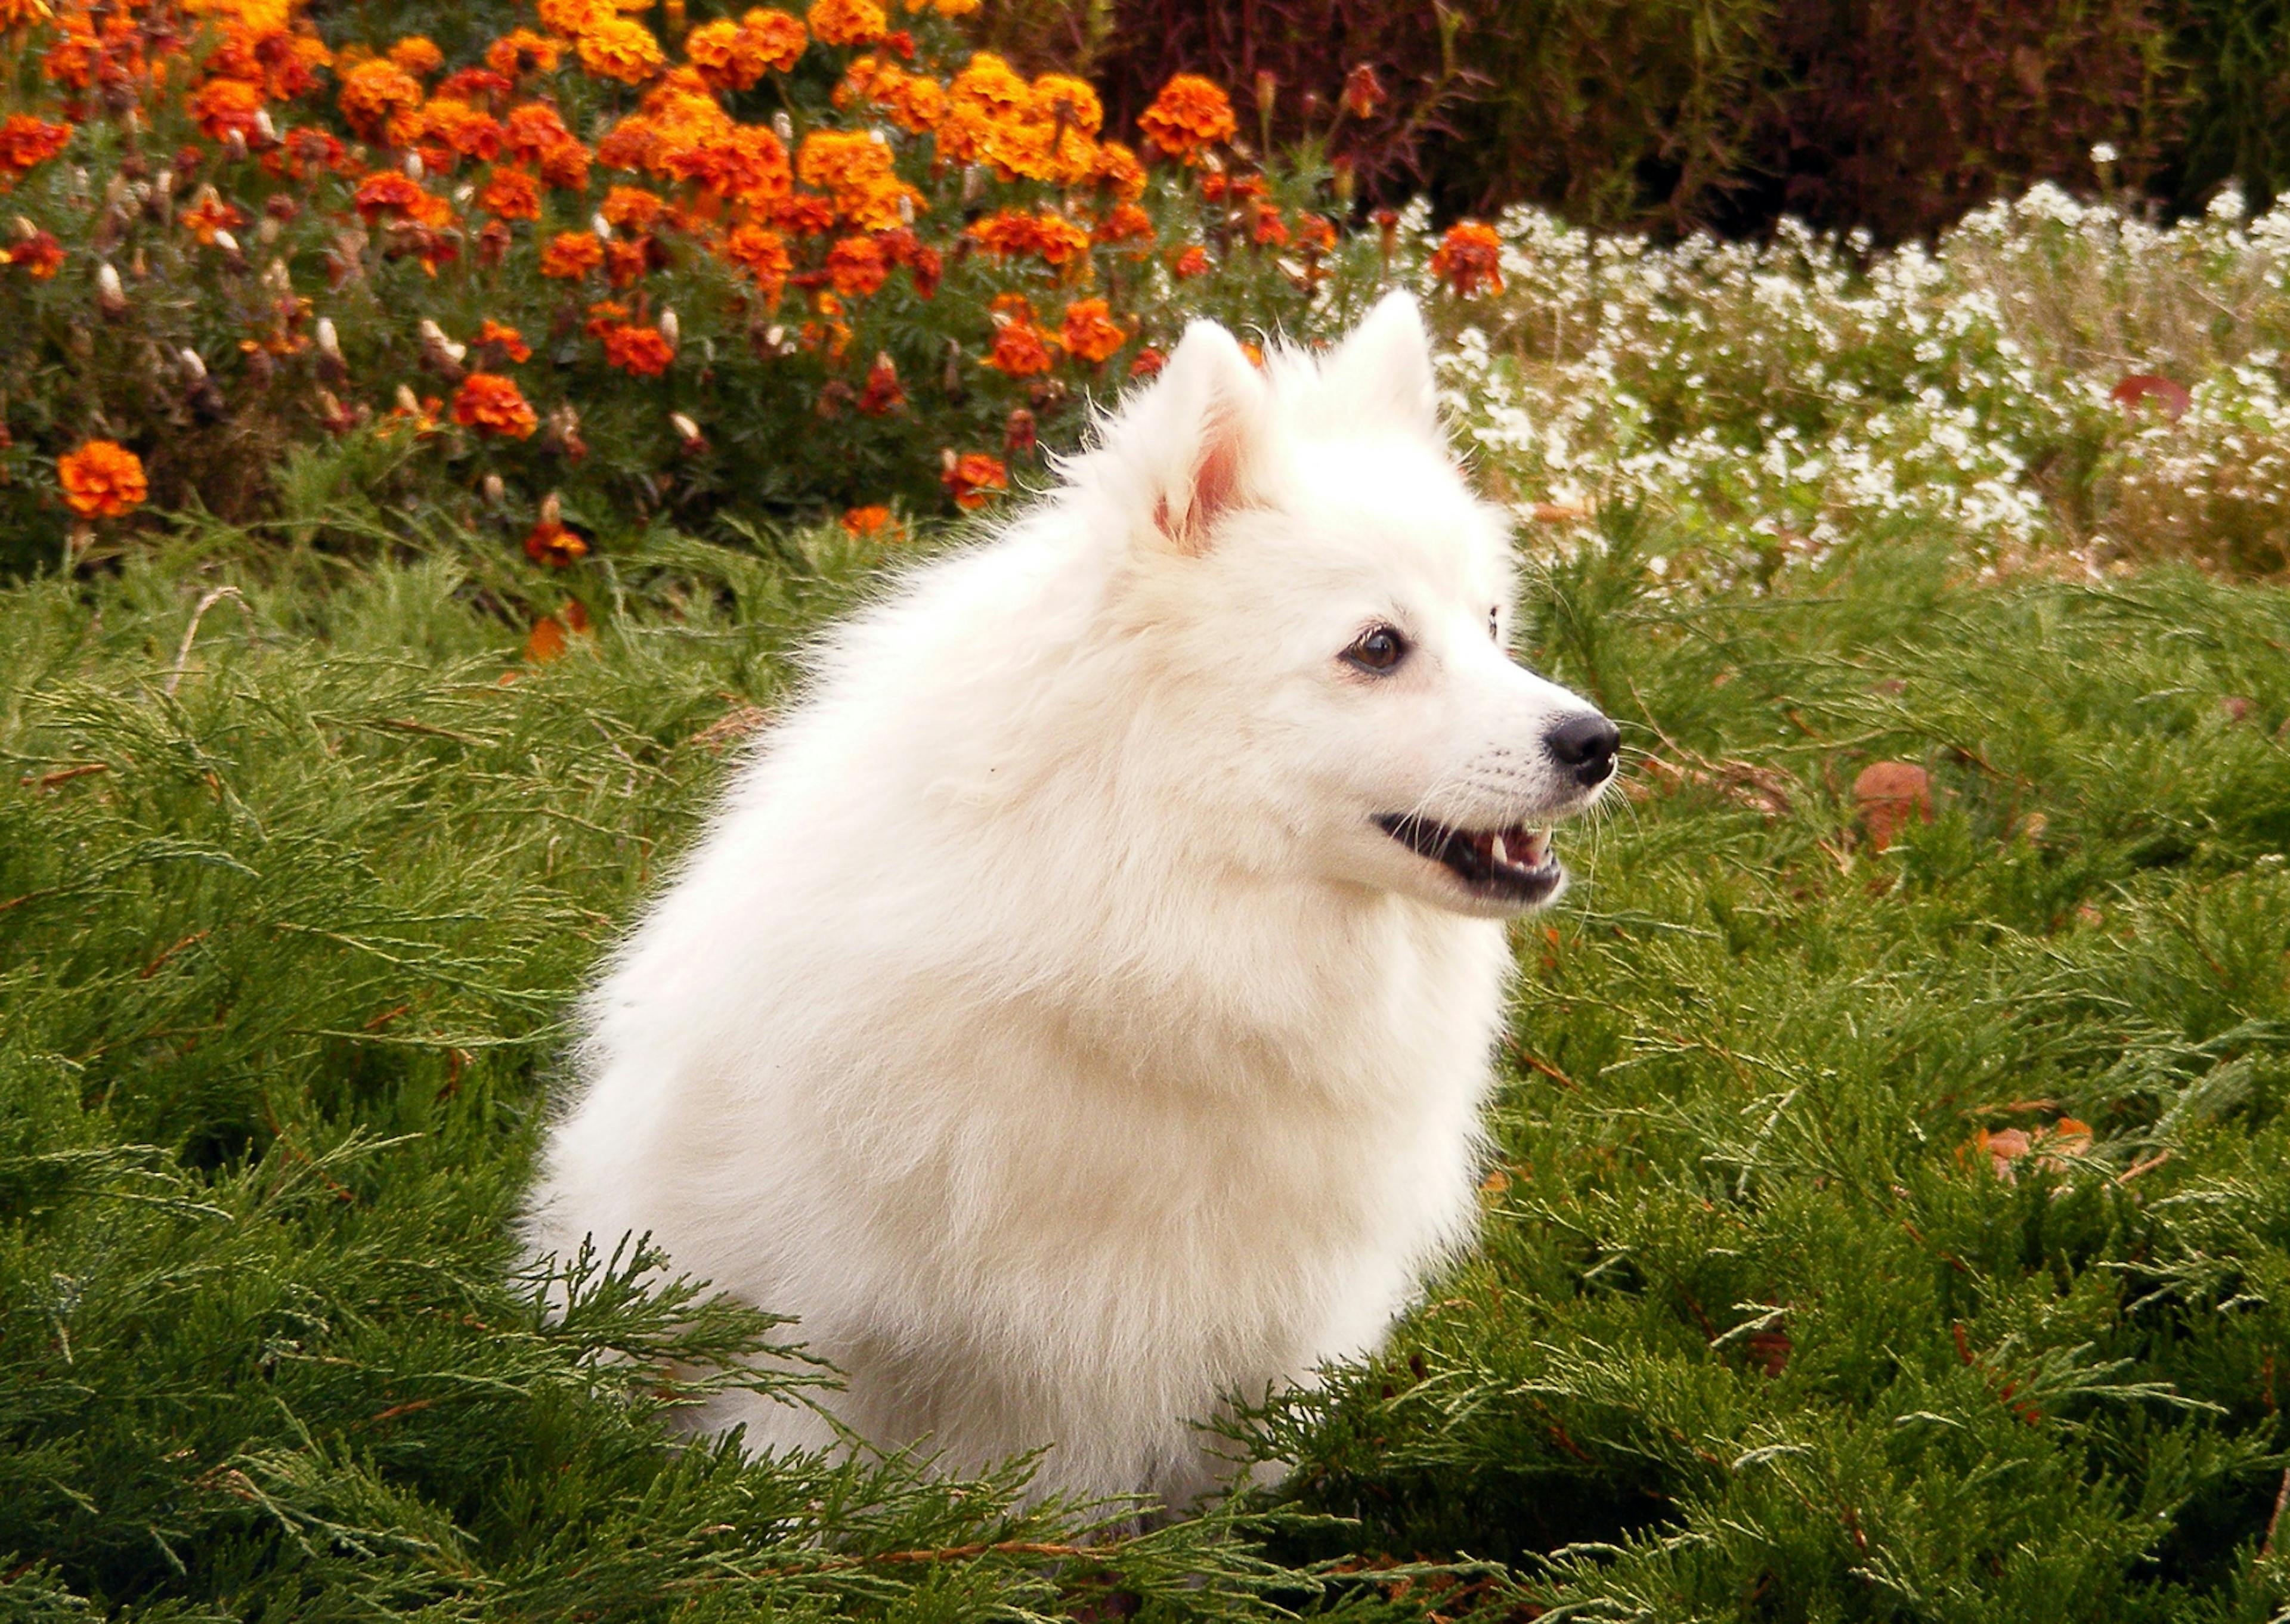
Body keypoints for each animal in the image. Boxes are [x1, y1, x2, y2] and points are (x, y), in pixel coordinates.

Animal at [527, 290, 1621, 1511]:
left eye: (1492, 624)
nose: (1596, 741)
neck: (1152, 934)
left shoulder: (1255, 1352)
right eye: (1378, 647)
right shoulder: (825, 1315)